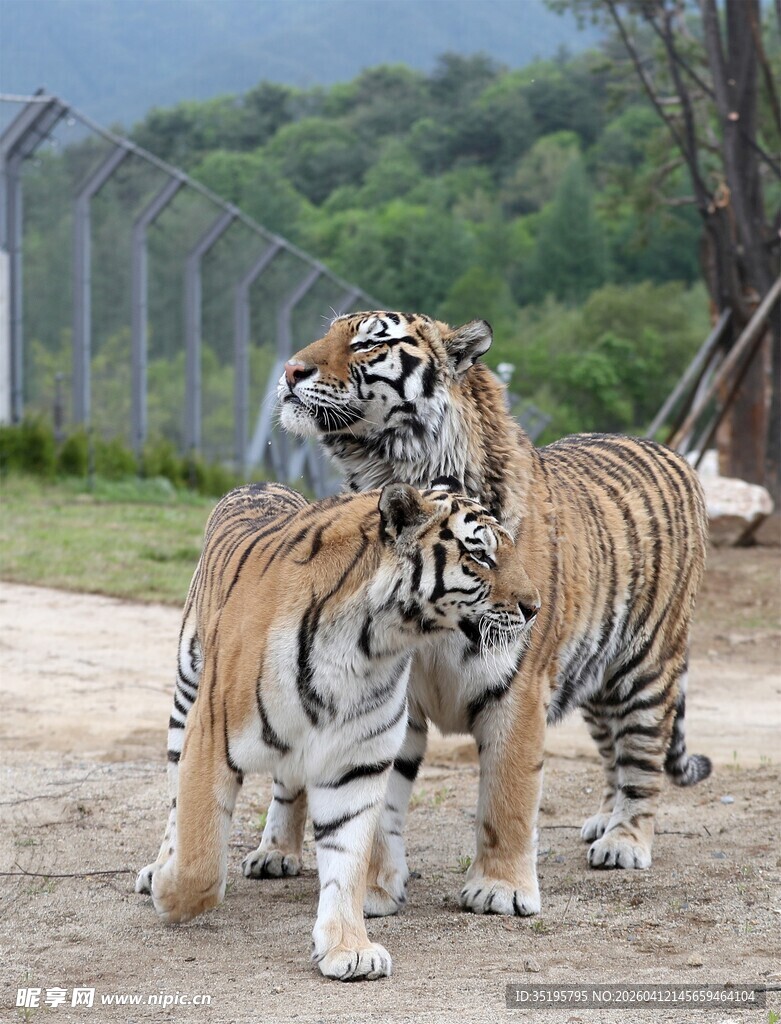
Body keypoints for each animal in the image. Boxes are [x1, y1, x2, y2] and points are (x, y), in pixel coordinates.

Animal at [135, 479, 539, 980]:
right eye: (480, 555)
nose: (535, 608)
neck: (372, 642)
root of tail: (260, 483)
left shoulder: (355, 761)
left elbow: (347, 861)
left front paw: (349, 948)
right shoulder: (212, 738)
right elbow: (200, 857)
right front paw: (168, 892)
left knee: (288, 785)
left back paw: (276, 854)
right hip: (185, 697)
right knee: (176, 797)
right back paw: (158, 866)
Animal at [276, 310, 712, 921]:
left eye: (369, 343)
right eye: (331, 331)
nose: (290, 370)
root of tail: (669, 452)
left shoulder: (519, 687)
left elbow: (507, 798)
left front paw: (500, 890)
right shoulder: (392, 691)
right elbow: (376, 804)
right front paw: (374, 891)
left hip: (645, 666)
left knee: (642, 756)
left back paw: (624, 841)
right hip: (594, 678)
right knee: (613, 751)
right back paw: (602, 821)